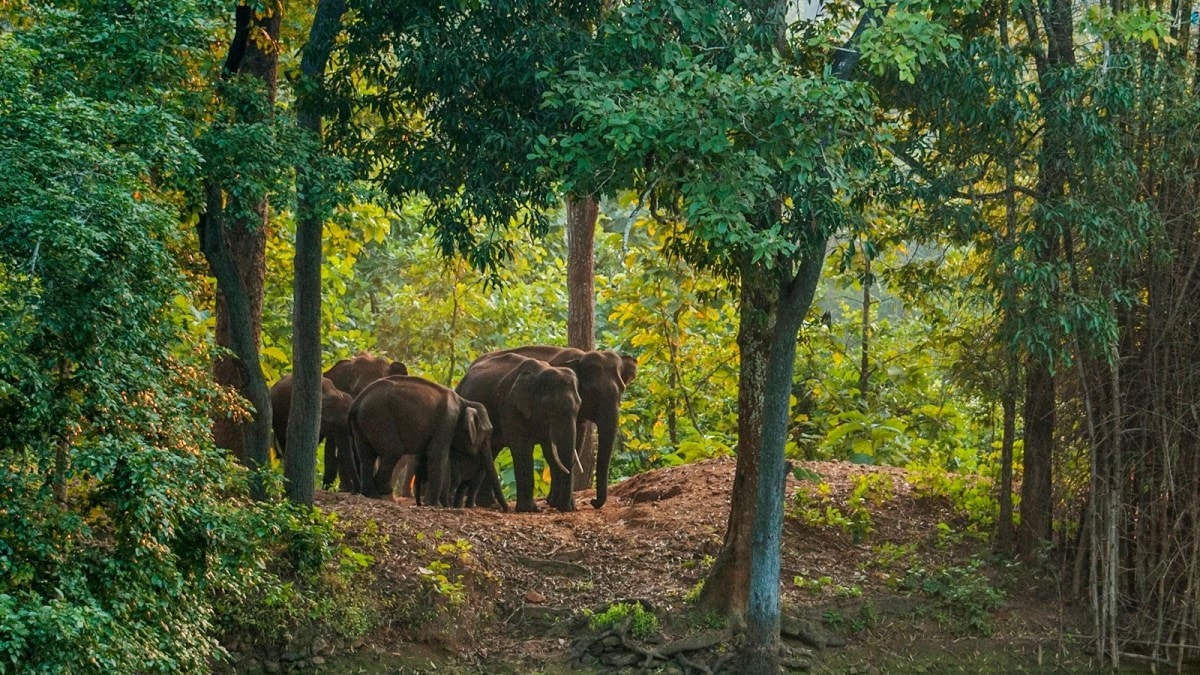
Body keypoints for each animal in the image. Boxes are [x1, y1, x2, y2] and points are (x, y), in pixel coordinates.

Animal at [349, 375, 507, 511]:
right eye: (487, 434)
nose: (504, 510)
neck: (465, 401)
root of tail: (357, 401)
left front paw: (441, 504)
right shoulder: (448, 420)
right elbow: (438, 455)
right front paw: (436, 505)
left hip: (362, 423)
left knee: (366, 457)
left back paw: (370, 494)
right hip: (380, 416)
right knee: (393, 451)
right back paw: (383, 492)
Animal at [455, 353, 581, 513]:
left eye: (579, 407)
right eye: (551, 408)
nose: (568, 508)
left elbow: (550, 451)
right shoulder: (511, 406)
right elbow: (522, 448)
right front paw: (530, 509)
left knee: (492, 451)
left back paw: (490, 504)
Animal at [470, 345, 636, 509]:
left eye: (622, 390)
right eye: (593, 392)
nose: (593, 502)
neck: (581, 356)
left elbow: (576, 444)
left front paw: (558, 503)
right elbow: (551, 451)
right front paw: (558, 503)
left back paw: (489, 503)